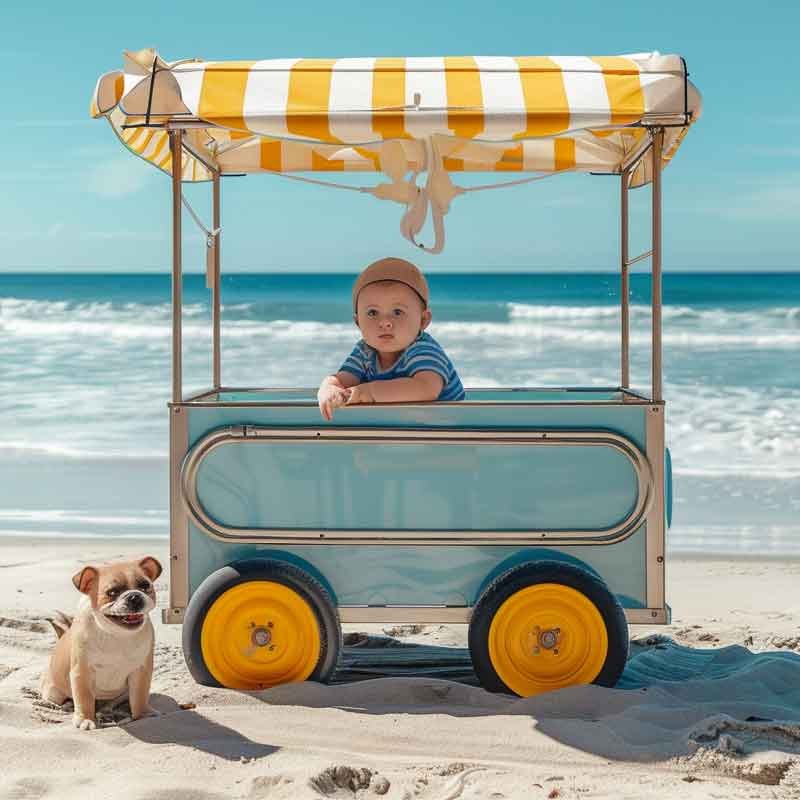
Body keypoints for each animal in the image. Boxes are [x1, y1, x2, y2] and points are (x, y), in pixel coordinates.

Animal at [40, 556, 162, 732]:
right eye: (112, 593)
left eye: (145, 586)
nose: (134, 596)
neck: (115, 633)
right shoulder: (82, 672)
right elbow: (84, 699)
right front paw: (85, 719)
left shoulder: (141, 672)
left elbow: (140, 695)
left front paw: (143, 713)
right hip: (53, 692)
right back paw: (65, 706)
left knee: (112, 703)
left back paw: (108, 711)